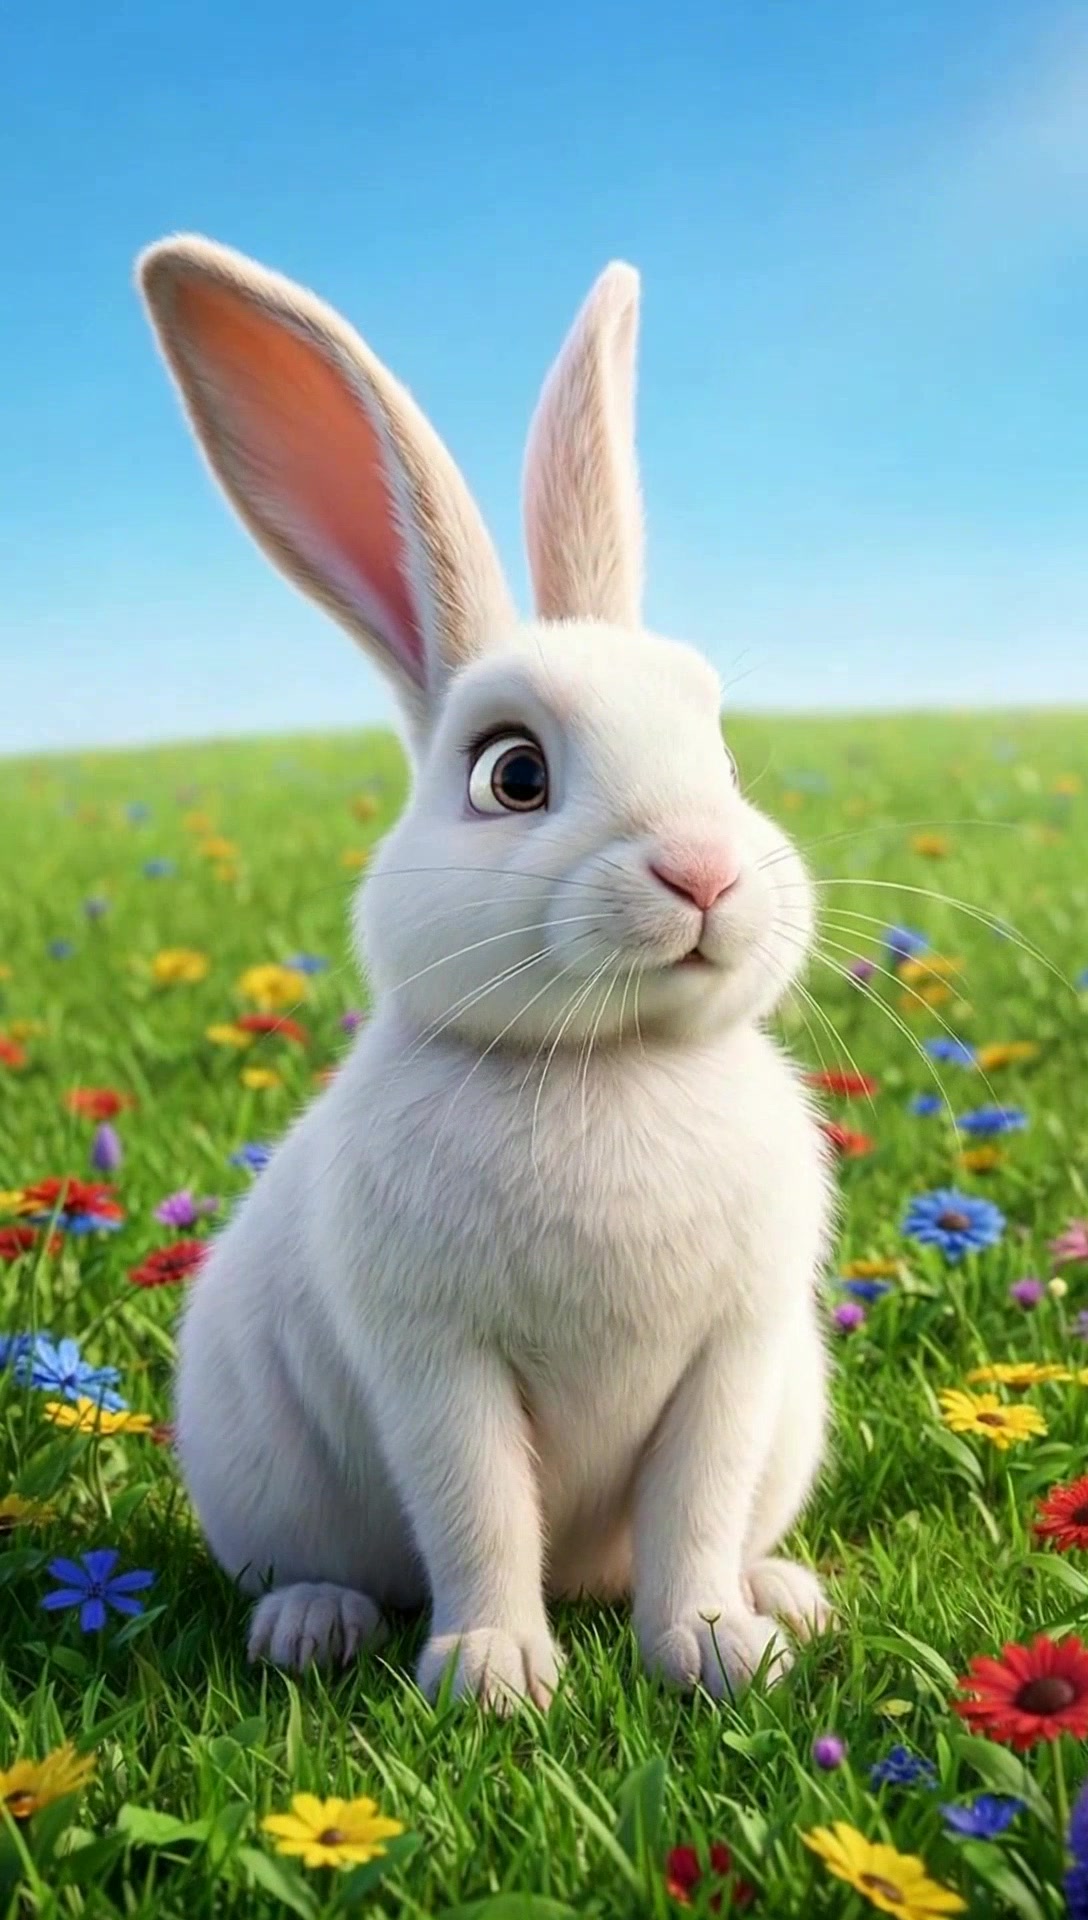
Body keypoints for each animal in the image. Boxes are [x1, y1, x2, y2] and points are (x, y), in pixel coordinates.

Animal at [137, 233, 835, 1709]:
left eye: (719, 746)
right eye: (512, 775)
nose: (703, 872)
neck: (608, 1063)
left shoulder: (734, 1355)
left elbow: (693, 1508)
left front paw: (712, 1647)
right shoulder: (434, 1361)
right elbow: (477, 1510)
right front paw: (496, 1676)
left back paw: (781, 1594)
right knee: (323, 1566)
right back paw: (315, 1625)